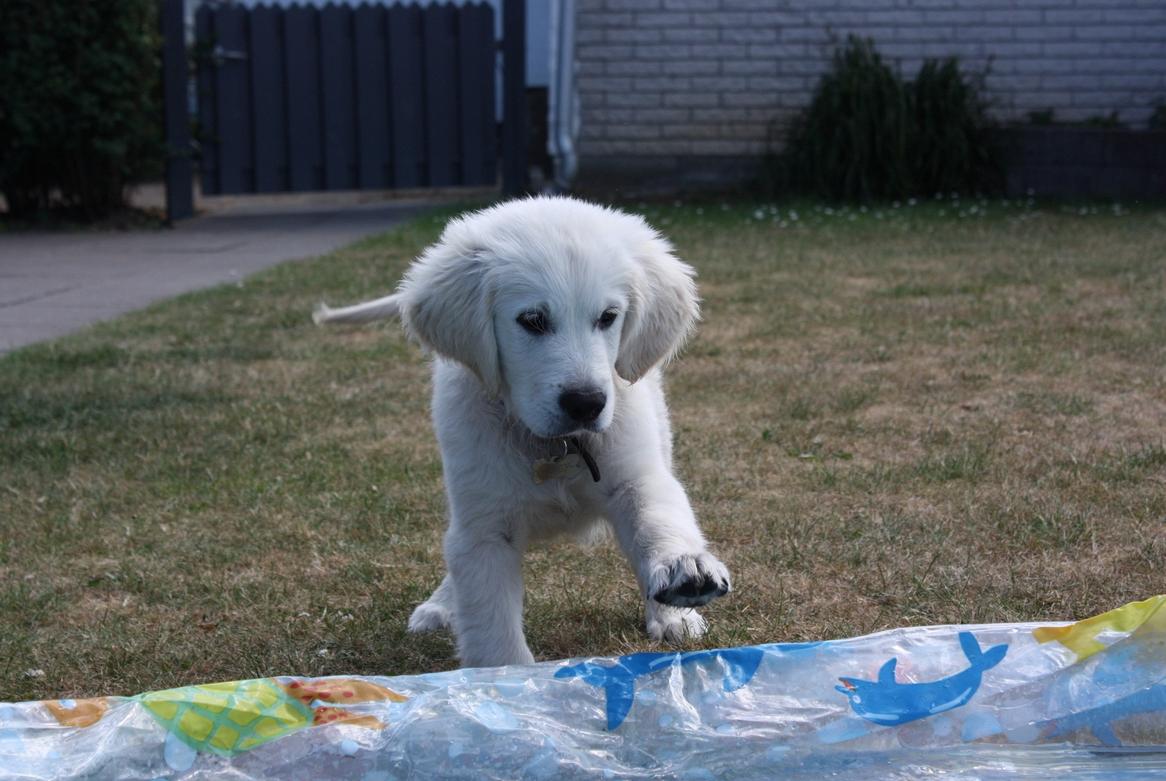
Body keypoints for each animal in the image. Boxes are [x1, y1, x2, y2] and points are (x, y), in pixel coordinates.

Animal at [317, 195, 727, 666]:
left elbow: (658, 517)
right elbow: (489, 619)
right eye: (532, 320)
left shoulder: (634, 473)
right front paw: (505, 676)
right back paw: (441, 604)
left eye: (608, 317)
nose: (586, 404)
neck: (553, 446)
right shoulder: (485, 523)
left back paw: (671, 614)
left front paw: (683, 572)